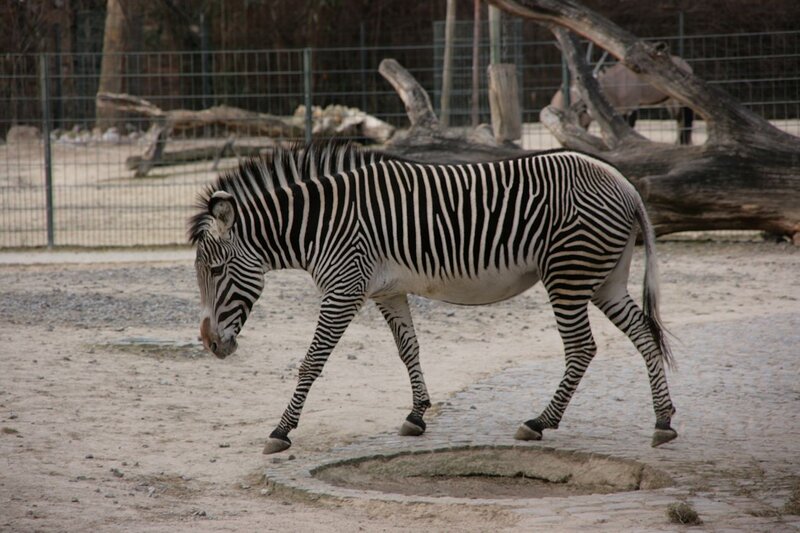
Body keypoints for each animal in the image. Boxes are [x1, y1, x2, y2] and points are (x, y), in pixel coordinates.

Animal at [188, 141, 677, 454]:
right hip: (604, 279)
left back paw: (540, 422)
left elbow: (311, 361)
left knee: (581, 348)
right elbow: (409, 349)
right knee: (644, 334)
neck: (321, 225)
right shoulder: (386, 290)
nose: (210, 345)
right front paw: (417, 415)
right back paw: (663, 421)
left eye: (216, 271)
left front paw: (282, 430)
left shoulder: (344, 289)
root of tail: (625, 184)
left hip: (568, 274)